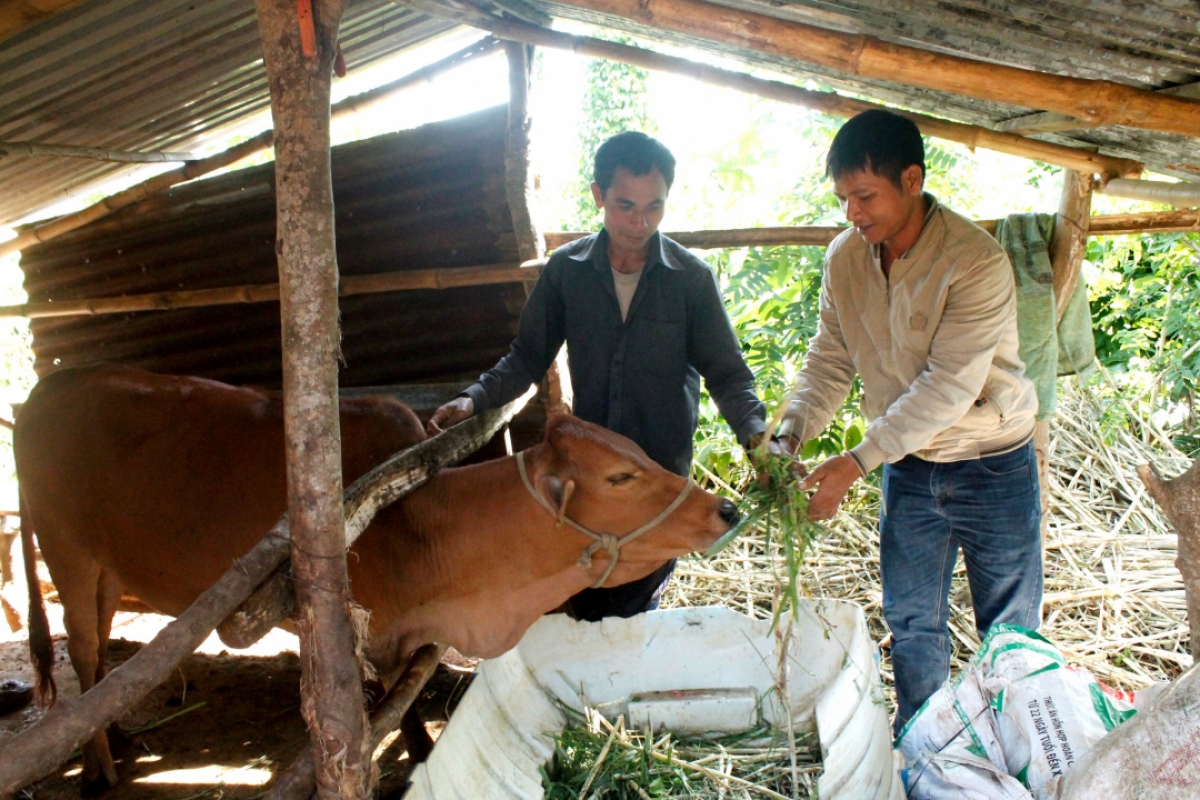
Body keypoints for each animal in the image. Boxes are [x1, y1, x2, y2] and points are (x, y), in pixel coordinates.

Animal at [14, 364, 734, 796]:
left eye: (635, 453)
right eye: (621, 477)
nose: (723, 509)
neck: (420, 519)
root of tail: (48, 388)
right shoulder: (367, 639)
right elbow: (392, 716)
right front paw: (413, 757)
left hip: (105, 572)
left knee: (100, 663)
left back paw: (115, 736)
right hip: (68, 554)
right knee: (83, 651)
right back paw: (98, 768)